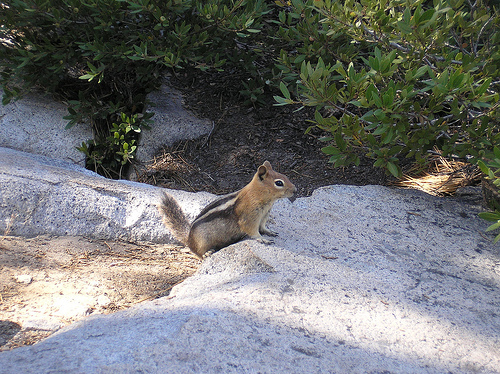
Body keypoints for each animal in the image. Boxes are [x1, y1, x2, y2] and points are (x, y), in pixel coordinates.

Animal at [158, 161, 294, 260]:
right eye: (279, 183)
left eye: (286, 176)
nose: (295, 190)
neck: (258, 195)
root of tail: (189, 238)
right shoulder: (249, 217)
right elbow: (252, 231)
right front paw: (262, 239)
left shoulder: (264, 215)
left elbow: (263, 227)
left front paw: (269, 232)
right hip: (202, 241)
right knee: (197, 253)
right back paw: (206, 253)